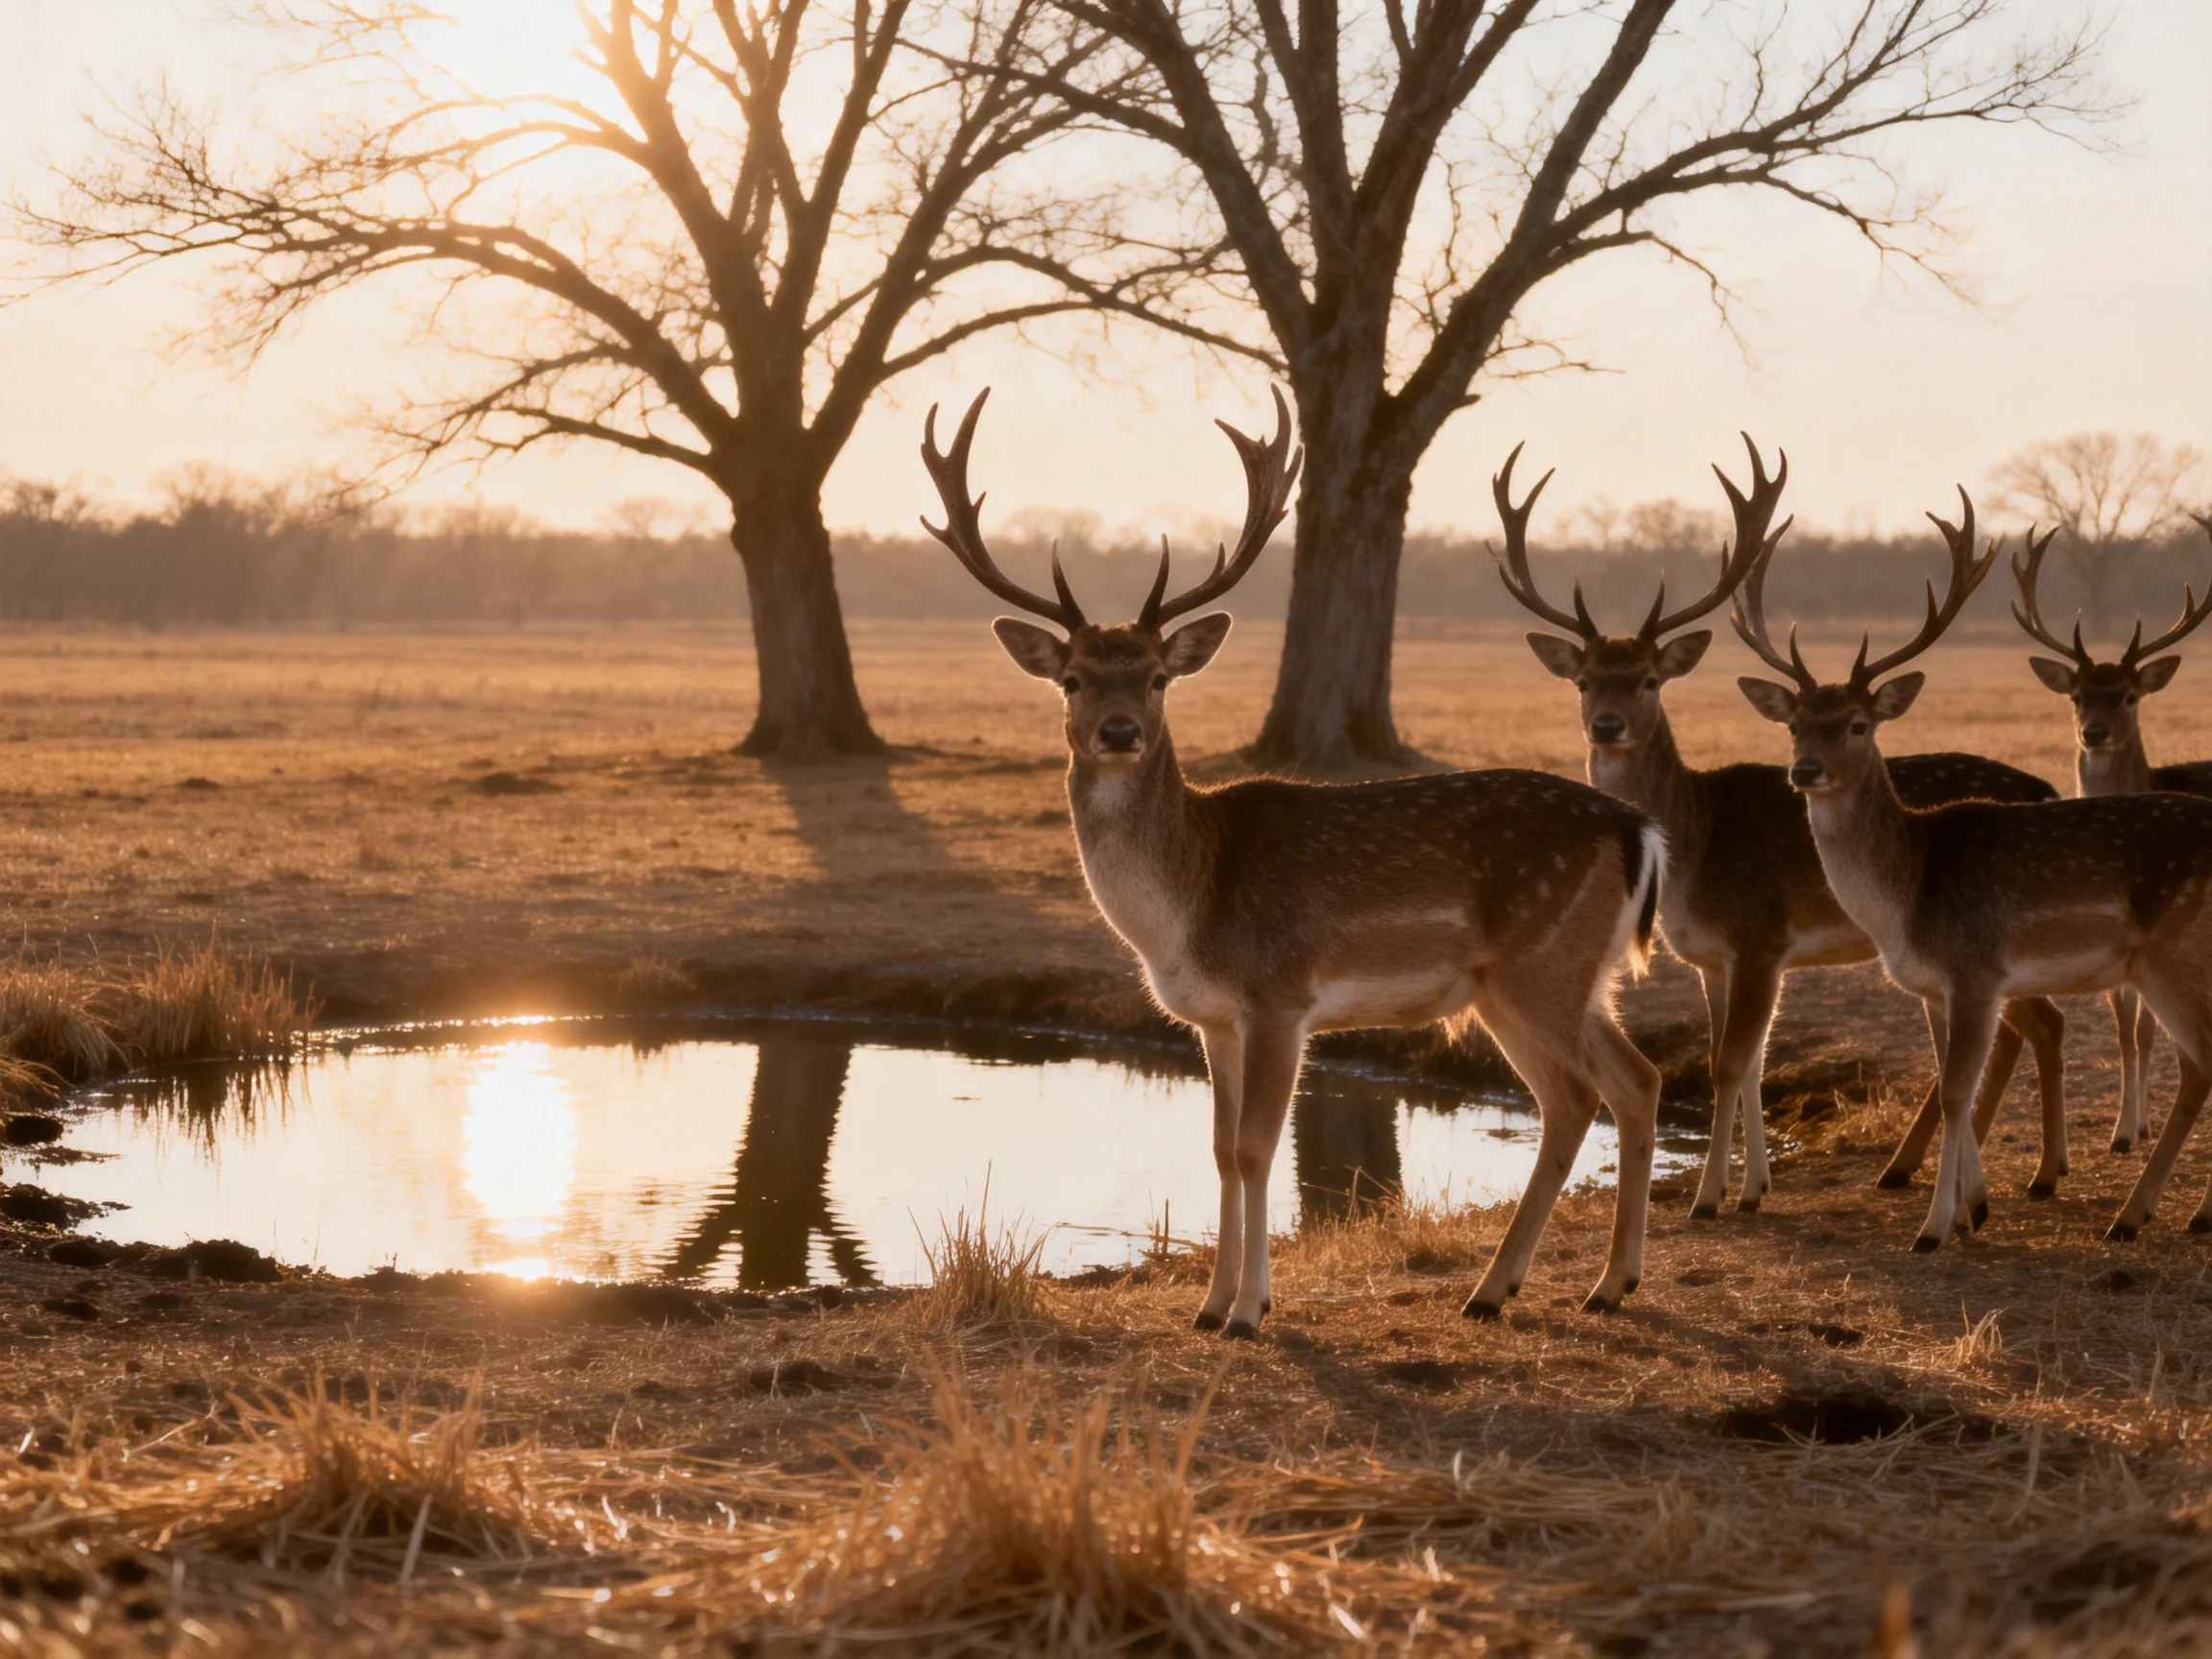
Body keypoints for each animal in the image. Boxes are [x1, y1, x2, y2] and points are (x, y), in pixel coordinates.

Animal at [921, 387, 1667, 1331]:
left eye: (1158, 676)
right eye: (1073, 680)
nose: (1119, 732)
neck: (1185, 915)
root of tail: (1640, 831)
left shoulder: (1280, 998)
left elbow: (1255, 1146)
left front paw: (1249, 1311)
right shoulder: (1212, 1018)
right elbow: (1217, 1146)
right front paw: (1210, 1306)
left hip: (1536, 967)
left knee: (1573, 1098)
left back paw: (1498, 1290)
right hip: (1566, 978)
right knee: (1636, 1078)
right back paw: (1610, 1282)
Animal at [1498, 443, 2070, 1215]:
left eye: (1650, 679)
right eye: (1583, 681)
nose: (1607, 726)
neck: (1695, 844)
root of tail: (2043, 786)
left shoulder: (1759, 938)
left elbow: (1728, 1063)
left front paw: (1711, 1198)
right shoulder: (1710, 957)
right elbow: (1745, 1062)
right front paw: (1753, 1189)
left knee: (2040, 1023)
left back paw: (2037, 1172)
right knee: (2019, 1030)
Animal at [2012, 515, 2212, 1154]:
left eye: (2128, 695)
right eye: (2077, 696)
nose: (2094, 733)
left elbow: (2148, 1030)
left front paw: (2136, 1128)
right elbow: (2126, 1029)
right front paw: (2126, 1131)